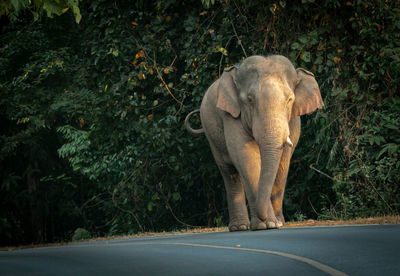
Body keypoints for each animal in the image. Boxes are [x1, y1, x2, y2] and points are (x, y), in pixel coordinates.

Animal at [186, 55, 324, 232]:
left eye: (290, 100)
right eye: (250, 100)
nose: (265, 217)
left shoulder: (293, 121)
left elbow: (283, 162)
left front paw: (277, 223)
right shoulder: (231, 116)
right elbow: (247, 157)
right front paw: (267, 224)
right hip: (211, 135)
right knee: (230, 173)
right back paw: (240, 227)